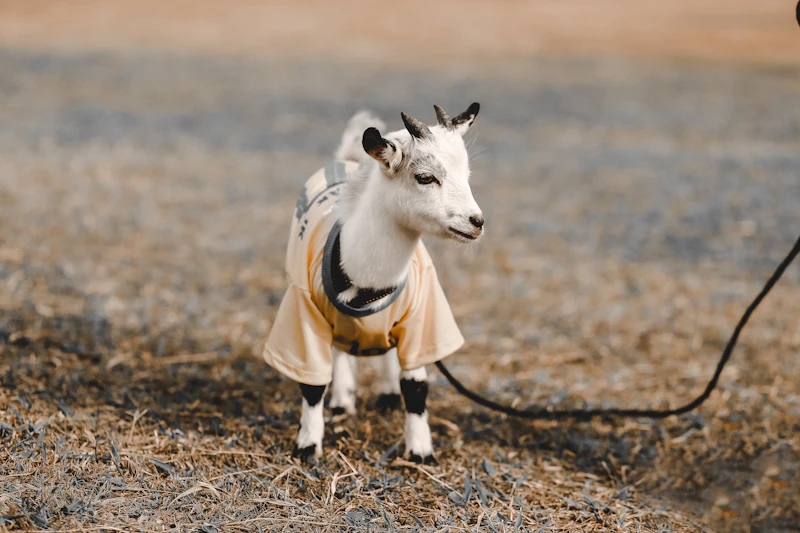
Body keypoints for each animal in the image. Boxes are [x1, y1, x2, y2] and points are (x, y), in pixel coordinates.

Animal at [263, 103, 483, 463]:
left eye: (466, 176)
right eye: (425, 177)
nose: (476, 222)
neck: (367, 278)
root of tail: (350, 157)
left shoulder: (423, 317)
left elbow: (416, 386)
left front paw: (420, 451)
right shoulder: (303, 312)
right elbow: (312, 384)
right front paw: (307, 447)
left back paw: (388, 394)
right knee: (340, 349)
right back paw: (342, 400)